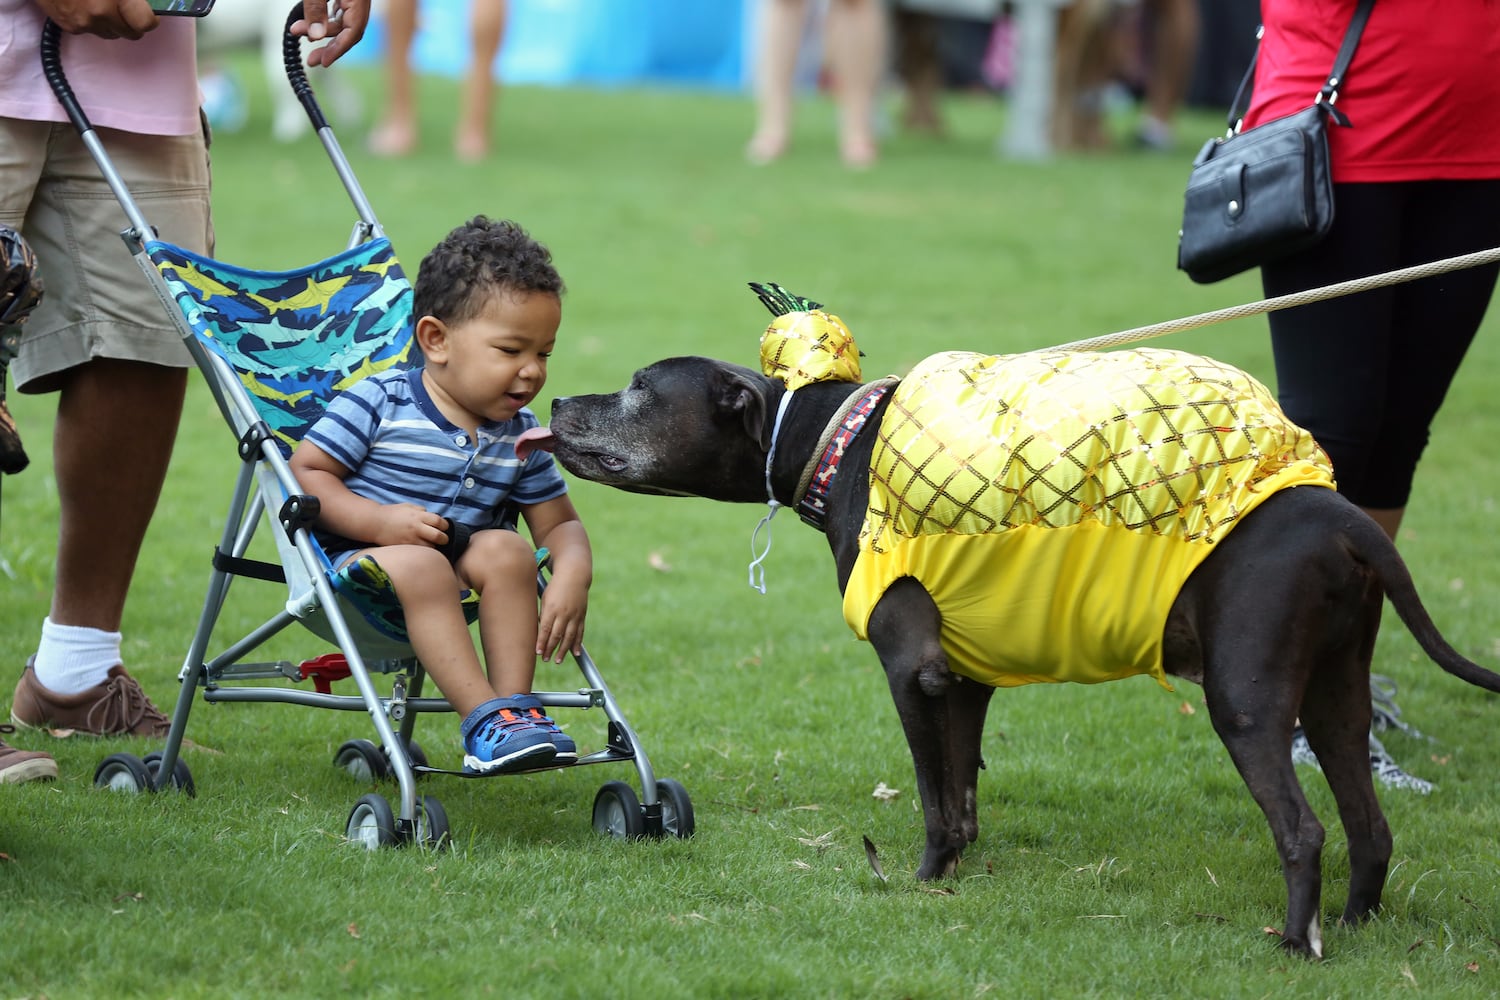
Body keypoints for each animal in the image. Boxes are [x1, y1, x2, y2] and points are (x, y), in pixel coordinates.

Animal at [540, 350, 1500, 953]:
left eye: (638, 388)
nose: (552, 403)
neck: (833, 443)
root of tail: (1338, 514)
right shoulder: (963, 678)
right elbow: (963, 794)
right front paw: (952, 878)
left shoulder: (910, 669)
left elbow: (933, 796)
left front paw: (917, 878)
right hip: (1335, 695)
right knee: (1370, 827)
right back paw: (1354, 926)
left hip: (1249, 697)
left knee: (1303, 830)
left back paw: (1298, 944)